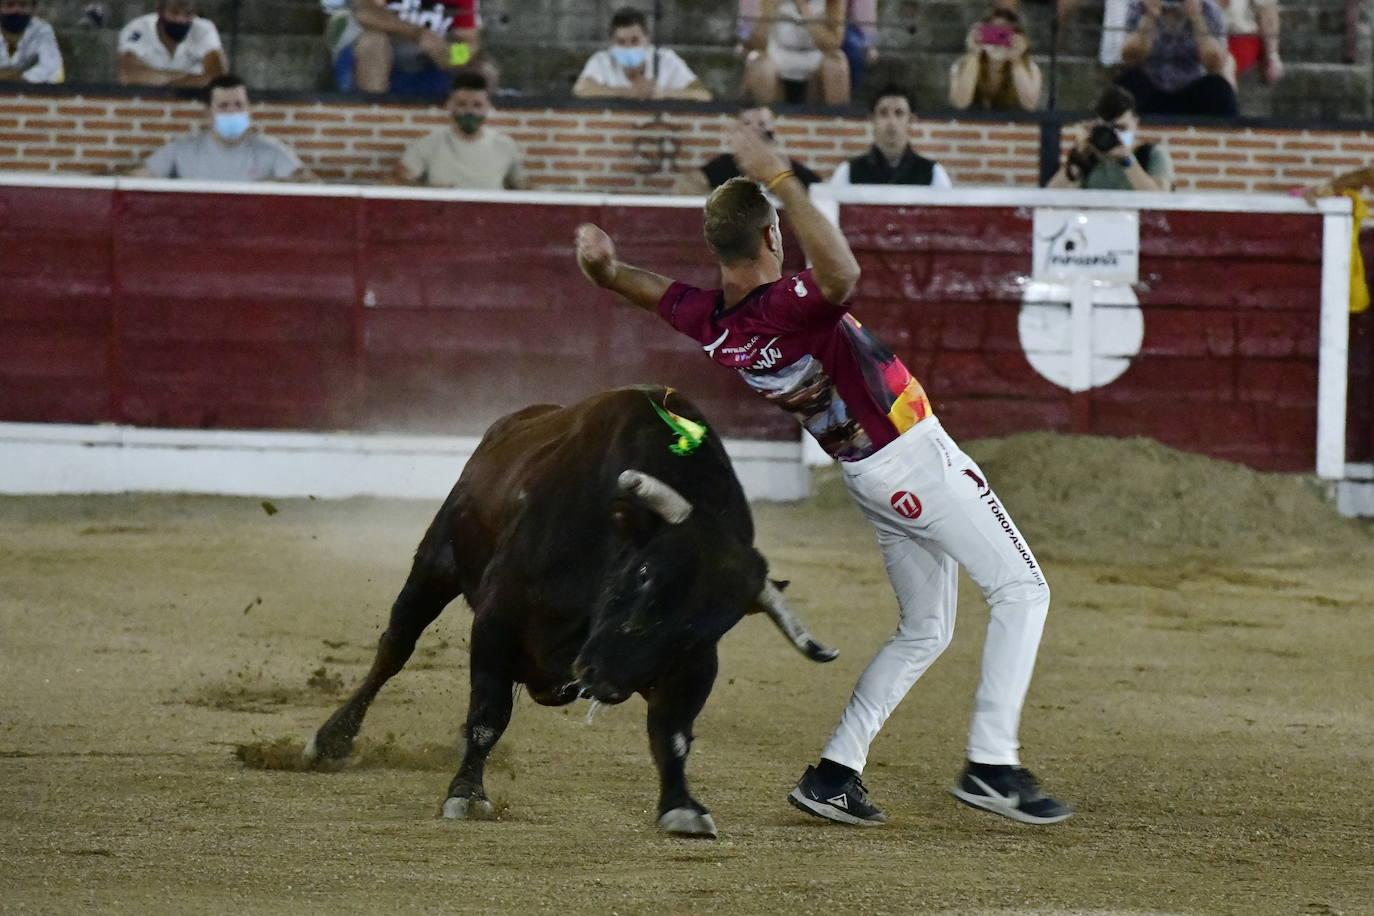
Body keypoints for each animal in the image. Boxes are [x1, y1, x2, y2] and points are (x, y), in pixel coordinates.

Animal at [305, 387, 829, 840]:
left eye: (713, 623)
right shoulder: (496, 622)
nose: (604, 680)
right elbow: (488, 714)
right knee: (395, 648)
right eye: (645, 572)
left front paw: (682, 807)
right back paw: (331, 741)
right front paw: (466, 795)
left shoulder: (694, 664)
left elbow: (673, 732)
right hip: (437, 563)